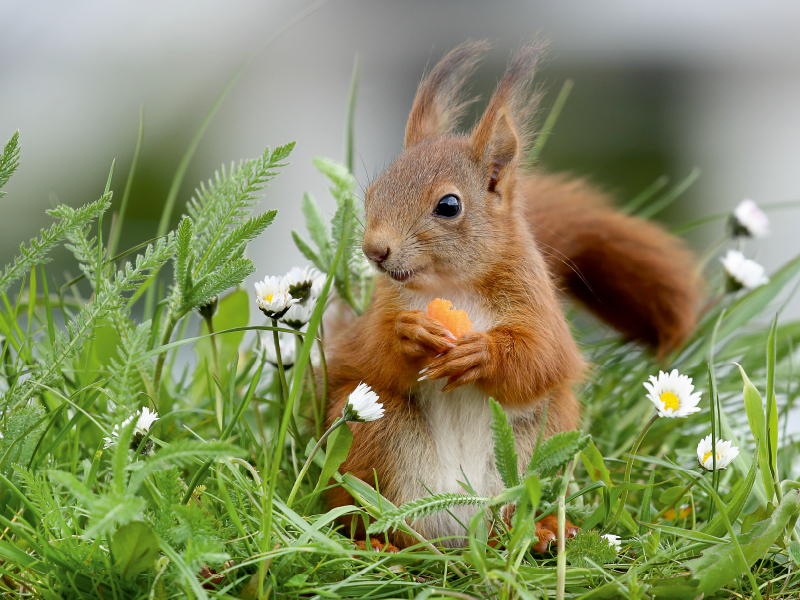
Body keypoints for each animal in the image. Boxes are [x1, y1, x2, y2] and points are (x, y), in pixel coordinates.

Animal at [324, 39, 700, 552]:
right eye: (375, 191)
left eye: (449, 205)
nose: (375, 250)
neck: (452, 286)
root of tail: (459, 532)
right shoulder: (375, 320)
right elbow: (371, 353)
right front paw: (409, 333)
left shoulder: (537, 305)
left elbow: (542, 357)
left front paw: (483, 353)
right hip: (371, 432)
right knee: (369, 511)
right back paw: (375, 543)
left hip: (538, 441)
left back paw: (541, 532)